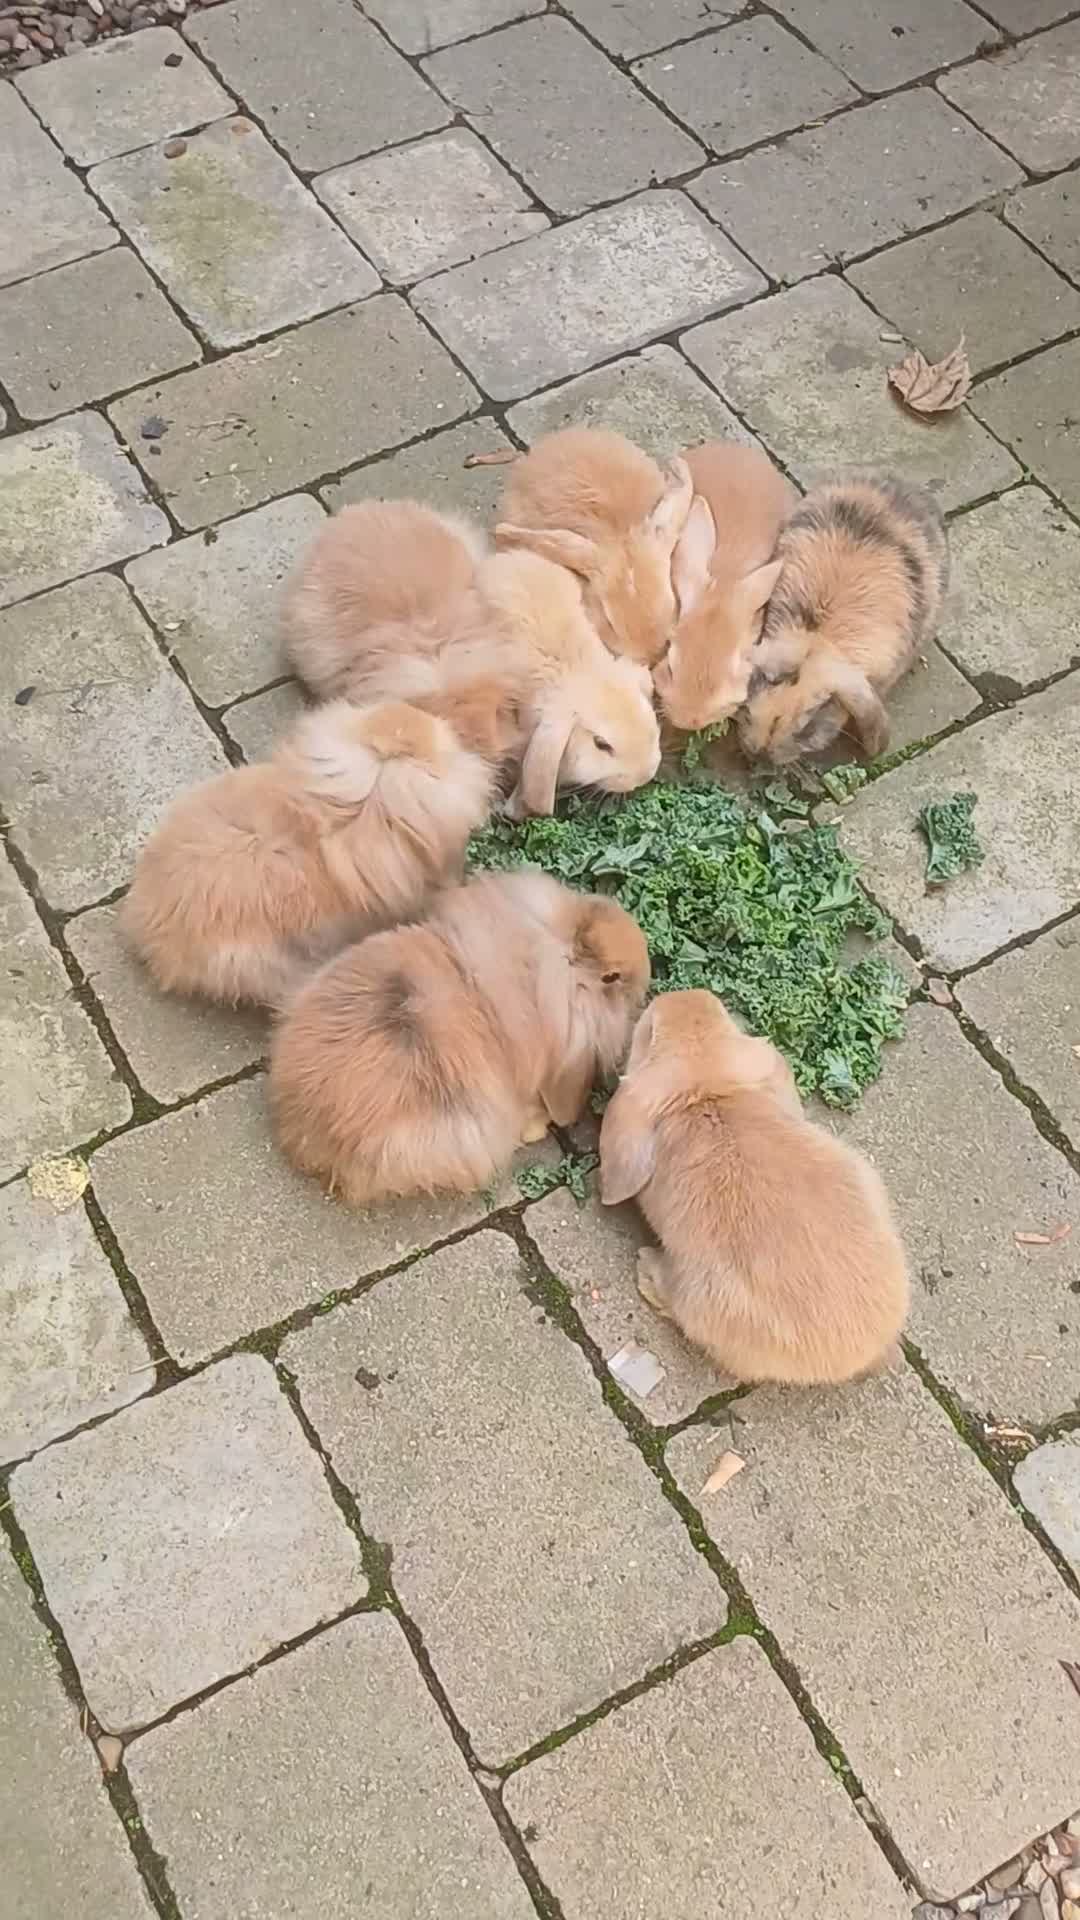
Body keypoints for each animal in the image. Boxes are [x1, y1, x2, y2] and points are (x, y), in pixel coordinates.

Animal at [598, 989, 909, 1385]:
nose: (687, 994)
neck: (706, 1087)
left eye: (648, 1029)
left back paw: (647, 1268)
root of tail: (865, 1349)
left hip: (702, 1293)